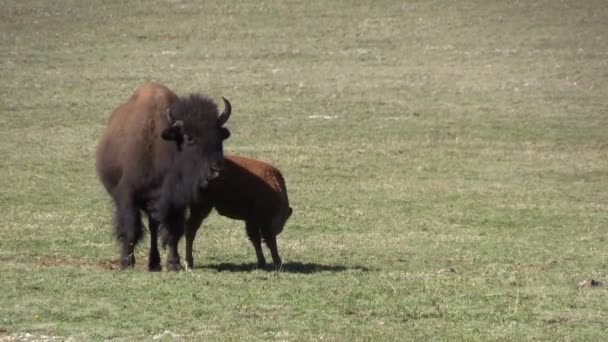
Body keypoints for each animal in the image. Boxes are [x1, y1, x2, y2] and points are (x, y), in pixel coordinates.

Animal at [96, 81, 232, 272]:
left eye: (219, 136)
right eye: (189, 137)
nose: (217, 170)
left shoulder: (175, 201)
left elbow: (172, 232)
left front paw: (174, 264)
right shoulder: (128, 196)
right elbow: (130, 228)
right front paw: (126, 262)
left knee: (154, 228)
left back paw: (154, 263)